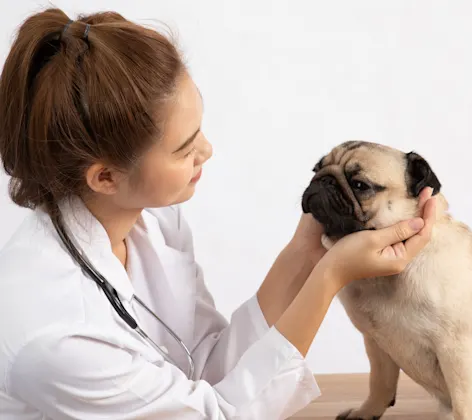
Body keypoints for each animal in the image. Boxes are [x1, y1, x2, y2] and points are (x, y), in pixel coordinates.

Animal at [302, 142, 472, 420]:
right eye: (316, 169)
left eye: (360, 185)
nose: (322, 180)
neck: (384, 279)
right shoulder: (377, 343)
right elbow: (380, 383)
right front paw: (366, 412)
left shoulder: (456, 350)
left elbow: (463, 402)